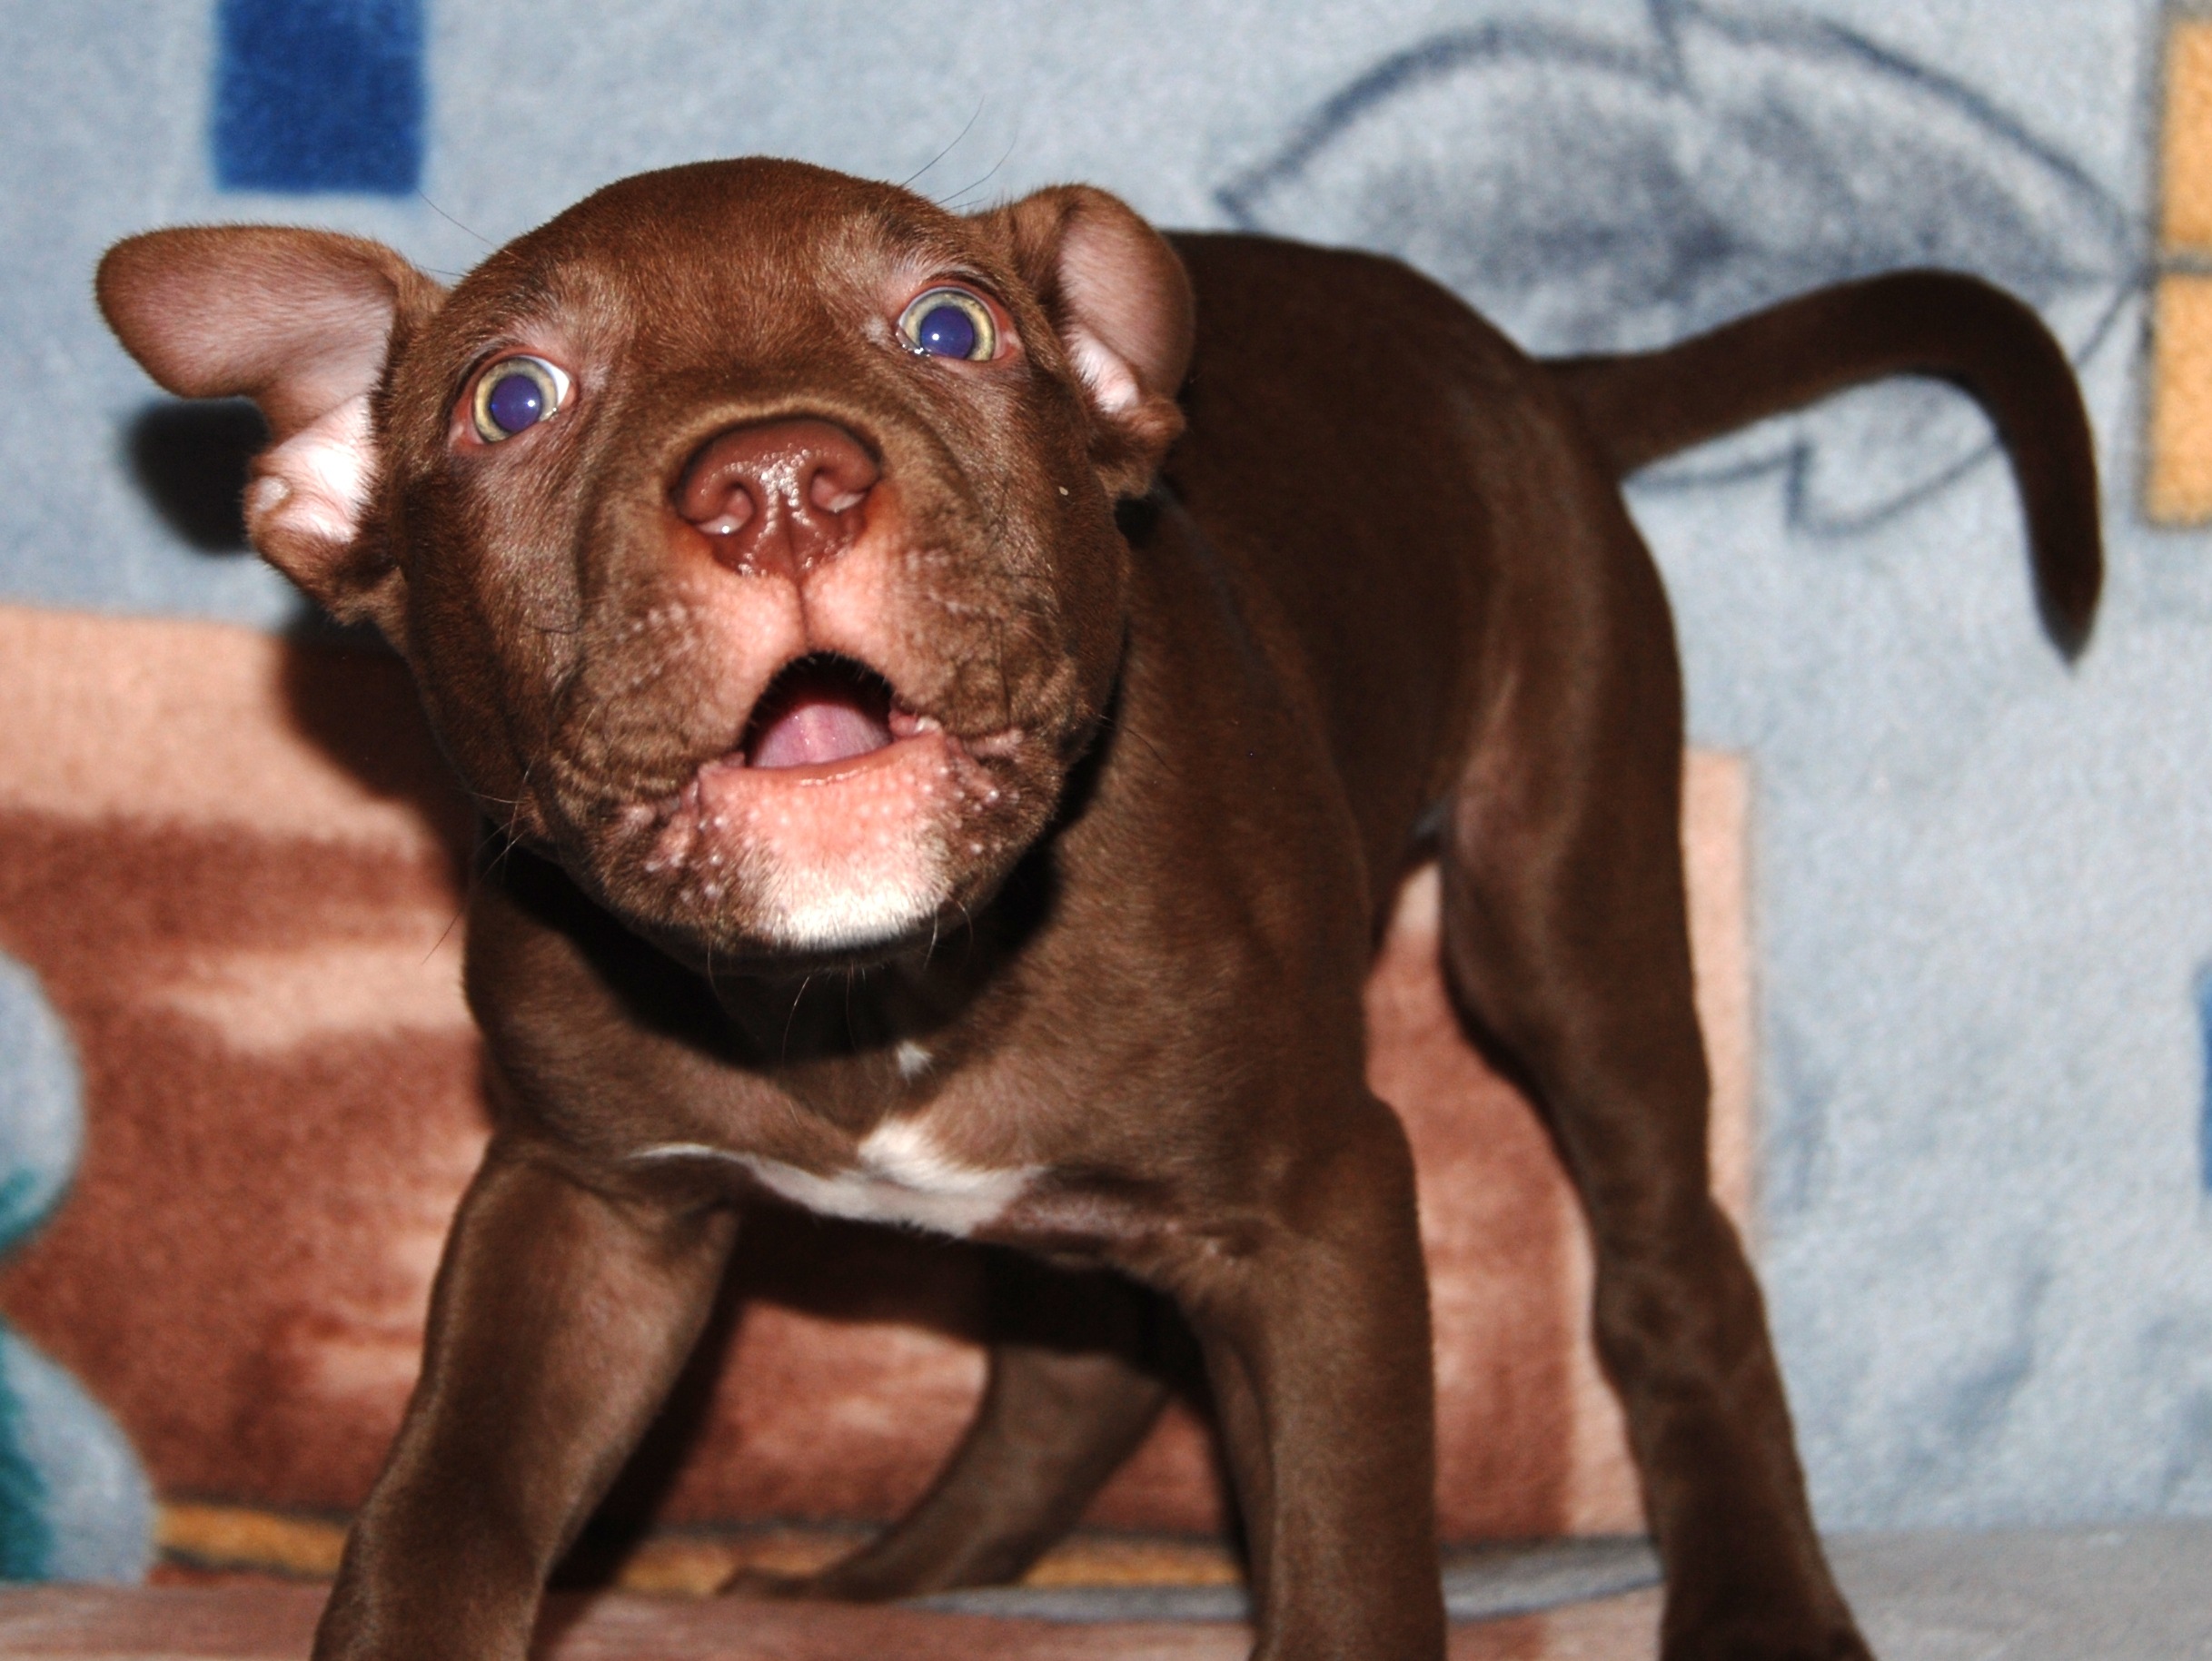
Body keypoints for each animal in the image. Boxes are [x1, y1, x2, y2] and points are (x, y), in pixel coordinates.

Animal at [98, 159, 2098, 1660]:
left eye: (951, 327)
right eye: (509, 400)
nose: (776, 482)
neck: (869, 985)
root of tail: (1521, 363)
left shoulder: (1317, 1203)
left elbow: (1346, 1553)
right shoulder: (586, 1203)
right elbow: (441, 1498)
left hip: (1563, 885)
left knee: (1669, 1255)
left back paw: (1759, 1598)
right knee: (1069, 1378)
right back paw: (876, 1583)